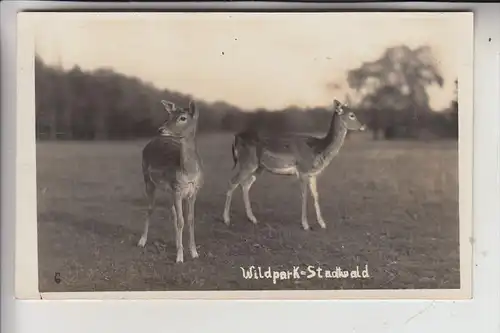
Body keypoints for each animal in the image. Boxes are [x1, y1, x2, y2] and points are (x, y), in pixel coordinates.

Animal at [137, 98, 203, 262]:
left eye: (182, 118)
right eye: (169, 115)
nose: (160, 129)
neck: (189, 173)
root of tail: (150, 142)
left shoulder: (194, 191)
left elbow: (190, 220)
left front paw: (194, 252)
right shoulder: (177, 189)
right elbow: (181, 221)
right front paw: (180, 257)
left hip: (168, 190)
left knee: (172, 212)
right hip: (148, 180)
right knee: (150, 208)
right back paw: (142, 241)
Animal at [223, 98, 368, 231]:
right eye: (351, 115)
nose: (363, 126)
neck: (318, 149)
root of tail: (236, 137)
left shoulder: (312, 174)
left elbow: (316, 195)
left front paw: (322, 224)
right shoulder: (302, 170)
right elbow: (304, 195)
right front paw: (306, 225)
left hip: (258, 167)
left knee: (245, 184)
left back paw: (252, 218)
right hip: (247, 163)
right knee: (232, 181)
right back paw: (226, 219)